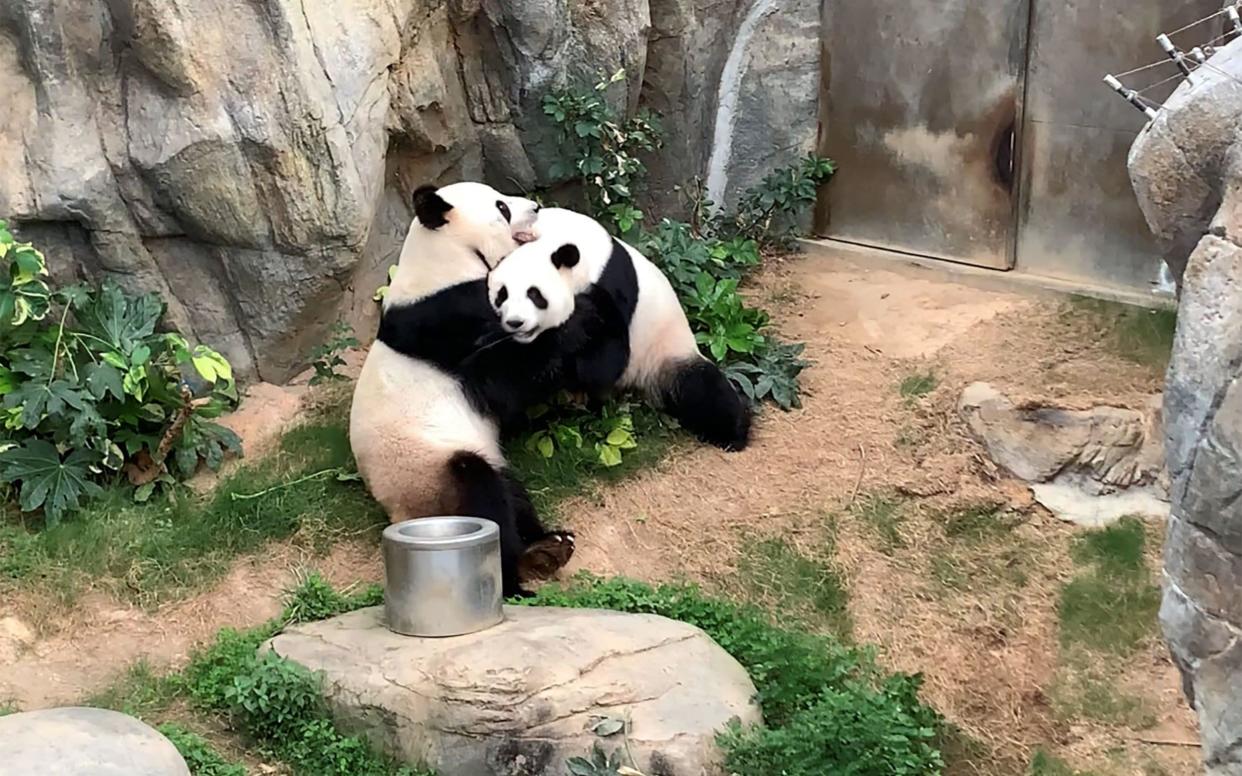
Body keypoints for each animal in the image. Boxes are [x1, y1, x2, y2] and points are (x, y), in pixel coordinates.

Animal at [352, 180, 573, 593]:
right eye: (502, 207)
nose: (535, 207)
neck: (445, 257)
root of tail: (398, 514)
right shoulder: (448, 318)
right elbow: (501, 379)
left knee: (511, 491)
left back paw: (547, 546)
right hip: (430, 473)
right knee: (482, 493)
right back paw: (514, 577)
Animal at [486, 206, 750, 451]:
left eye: (535, 295)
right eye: (502, 295)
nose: (516, 323)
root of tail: (638, 386)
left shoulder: (611, 286)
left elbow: (605, 361)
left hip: (665, 353)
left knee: (702, 389)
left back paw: (731, 436)